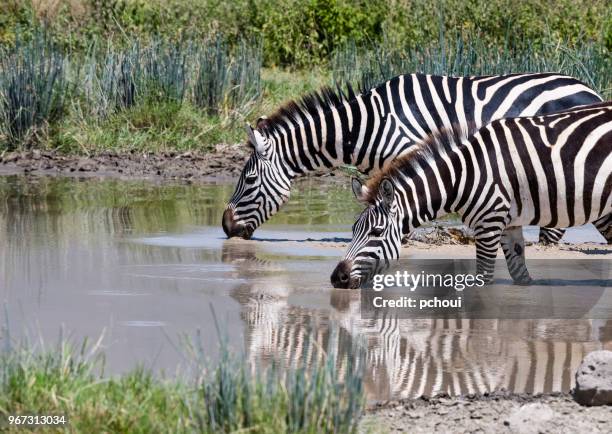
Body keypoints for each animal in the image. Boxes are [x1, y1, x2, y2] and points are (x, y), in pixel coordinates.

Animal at [332, 101, 608, 288]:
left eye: (376, 232)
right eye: (353, 230)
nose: (337, 278)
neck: (464, 175)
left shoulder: (488, 224)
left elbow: (483, 279)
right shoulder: (509, 224)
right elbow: (520, 275)